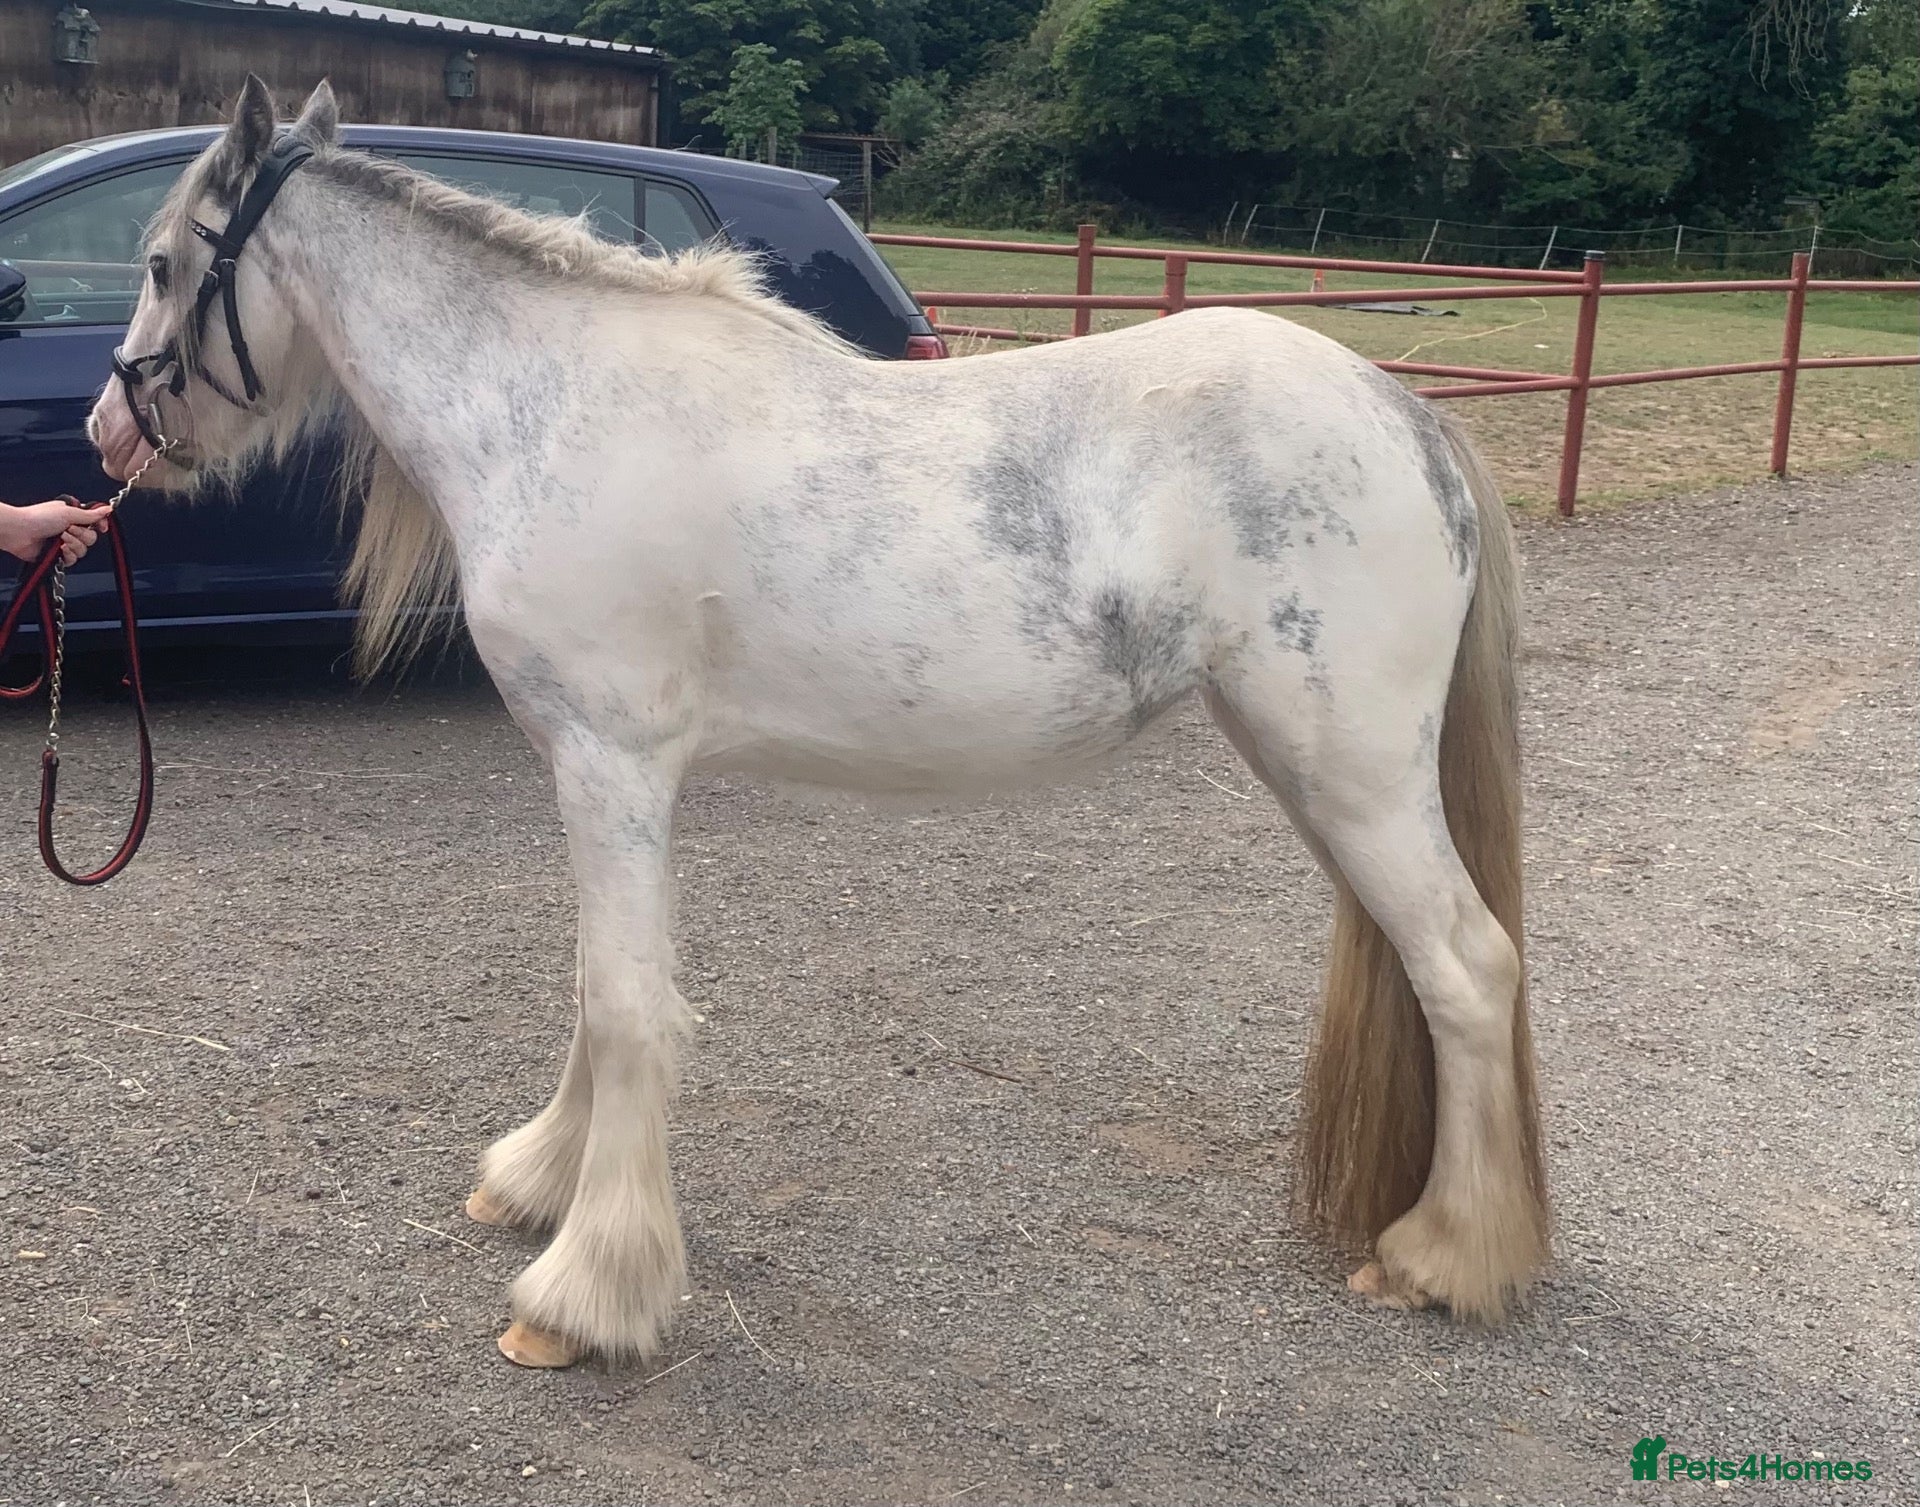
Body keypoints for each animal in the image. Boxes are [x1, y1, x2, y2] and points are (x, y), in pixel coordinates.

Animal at [91, 79, 1549, 1369]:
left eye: (161, 262)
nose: (109, 427)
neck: (552, 406)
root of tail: (1406, 414)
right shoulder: (596, 773)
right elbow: (597, 990)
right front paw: (539, 1178)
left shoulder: (612, 765)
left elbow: (628, 1006)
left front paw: (585, 1292)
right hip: (1307, 765)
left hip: (1354, 770)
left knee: (1469, 965)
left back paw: (1448, 1255)